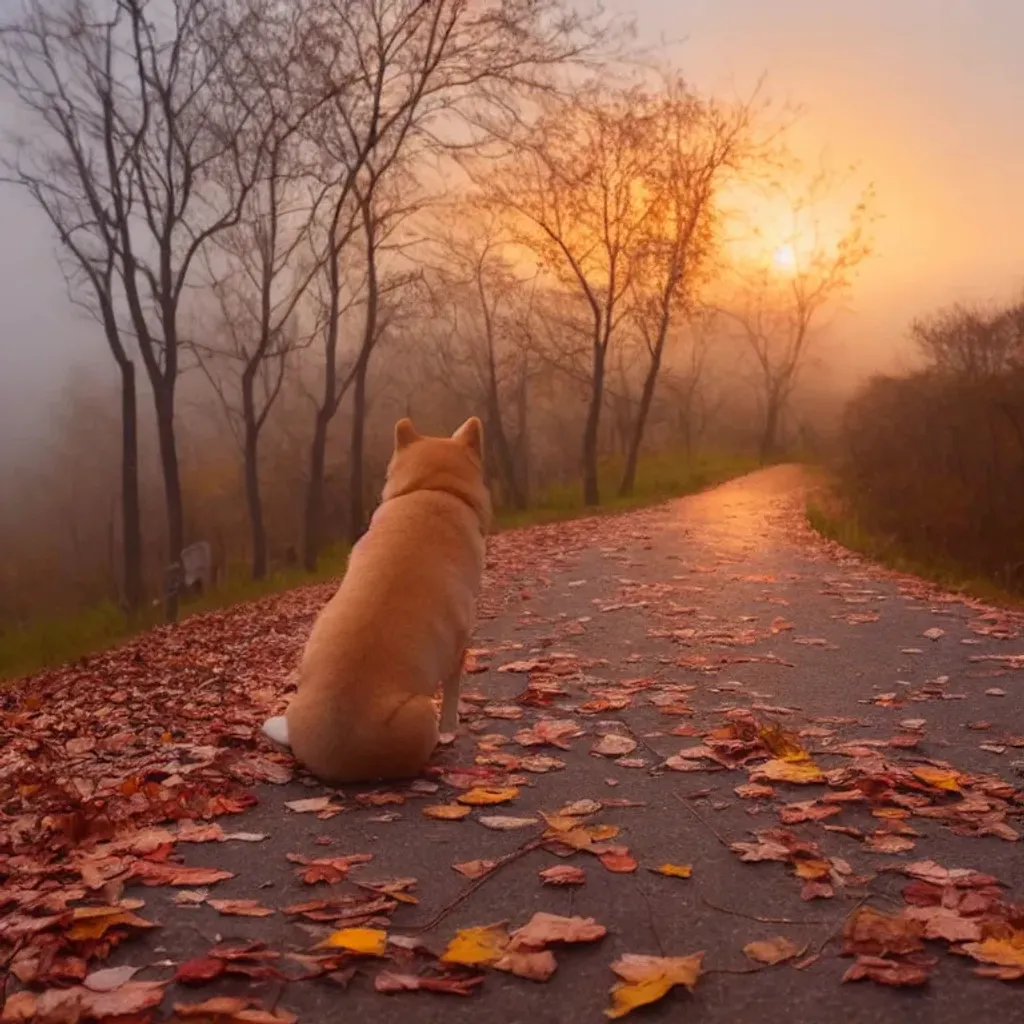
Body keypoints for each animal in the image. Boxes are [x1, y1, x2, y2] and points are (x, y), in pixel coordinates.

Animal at [262, 415, 489, 782]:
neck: (431, 490)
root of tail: (330, 761)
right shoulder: (461, 644)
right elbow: (453, 698)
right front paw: (452, 730)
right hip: (421, 711)